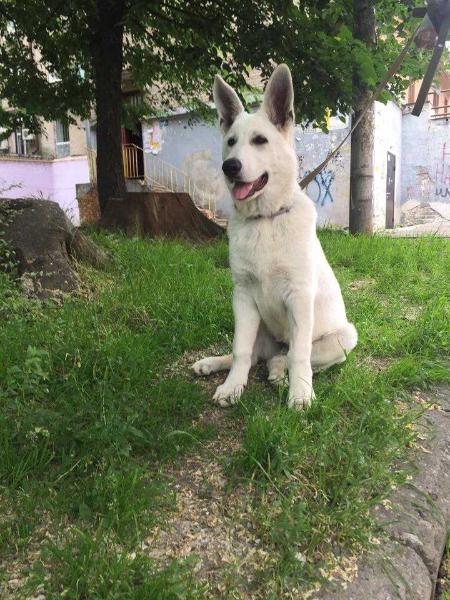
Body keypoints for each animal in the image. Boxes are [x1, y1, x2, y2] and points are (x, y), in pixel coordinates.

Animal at [192, 67, 356, 412]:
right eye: (230, 142)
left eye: (260, 141)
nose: (230, 167)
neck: (265, 220)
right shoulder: (242, 296)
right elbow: (240, 351)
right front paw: (232, 387)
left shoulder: (299, 297)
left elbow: (300, 355)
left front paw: (301, 393)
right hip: (259, 327)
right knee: (256, 356)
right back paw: (213, 363)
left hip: (344, 336)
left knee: (284, 357)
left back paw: (281, 373)